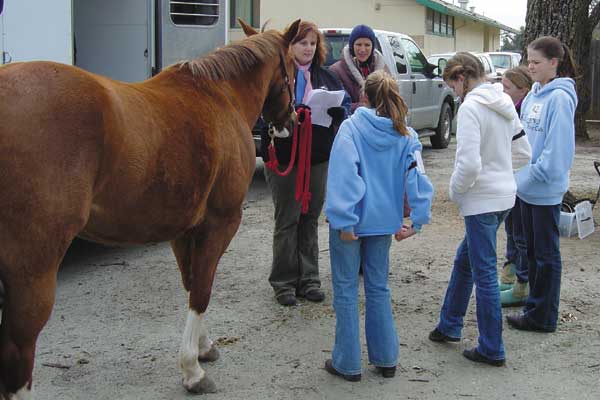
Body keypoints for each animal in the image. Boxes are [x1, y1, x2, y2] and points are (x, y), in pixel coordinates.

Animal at [0, 19, 300, 399]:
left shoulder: (183, 230)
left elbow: (191, 283)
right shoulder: (221, 222)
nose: (290, 121)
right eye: (294, 67)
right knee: (18, 353)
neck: (221, 95)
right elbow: (202, 290)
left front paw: (203, 347)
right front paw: (192, 370)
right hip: (33, 271)